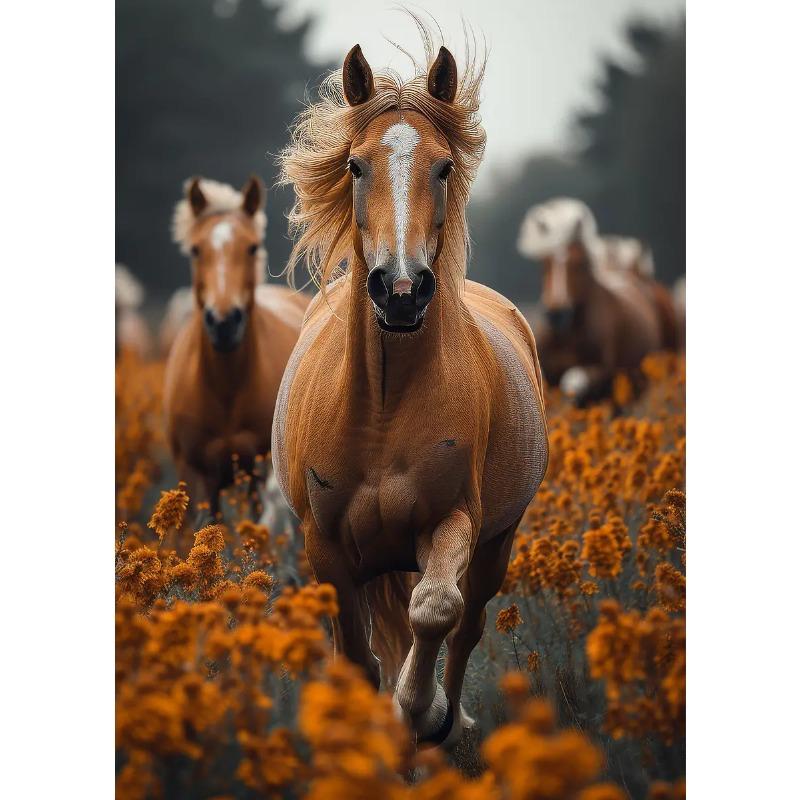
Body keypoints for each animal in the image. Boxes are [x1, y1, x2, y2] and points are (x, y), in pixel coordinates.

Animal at [164, 176, 310, 514]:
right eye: (195, 250)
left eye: (252, 247)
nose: (224, 323)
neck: (225, 389)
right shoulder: (197, 479)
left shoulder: (258, 475)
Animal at [273, 35, 549, 748]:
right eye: (355, 166)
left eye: (445, 167)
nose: (401, 289)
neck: (383, 408)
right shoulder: (328, 550)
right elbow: (357, 656)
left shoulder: (452, 521)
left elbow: (436, 608)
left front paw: (420, 711)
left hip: (495, 547)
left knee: (468, 624)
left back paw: (451, 723)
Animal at [517, 197, 677, 404]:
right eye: (545, 264)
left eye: (579, 264)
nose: (557, 315)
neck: (568, 335)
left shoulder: (601, 372)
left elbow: (573, 382)